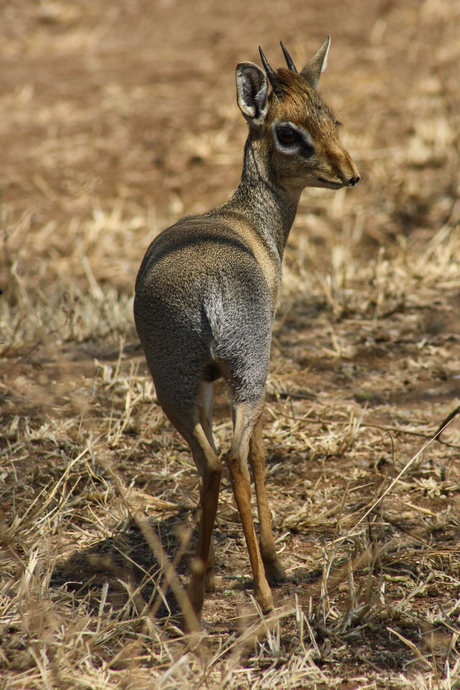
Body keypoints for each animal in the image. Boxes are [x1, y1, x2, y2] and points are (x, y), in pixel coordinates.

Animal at [134, 37, 360, 620]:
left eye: (330, 116)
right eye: (289, 132)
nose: (349, 174)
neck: (251, 224)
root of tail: (207, 291)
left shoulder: (208, 382)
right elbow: (259, 450)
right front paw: (277, 564)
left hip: (177, 384)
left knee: (210, 461)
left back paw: (195, 596)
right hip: (248, 372)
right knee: (238, 455)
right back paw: (262, 589)